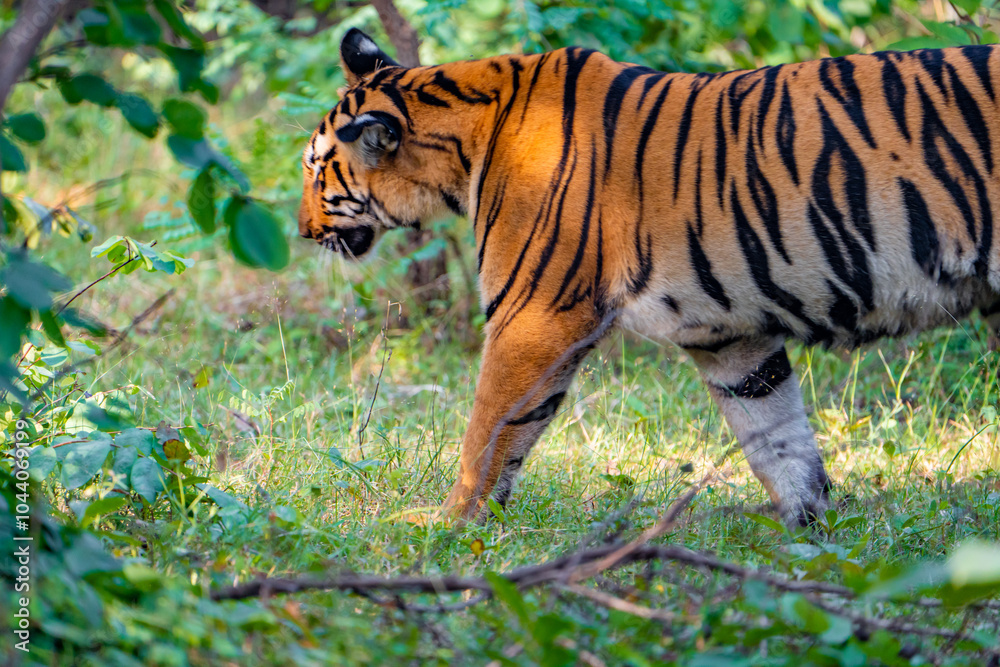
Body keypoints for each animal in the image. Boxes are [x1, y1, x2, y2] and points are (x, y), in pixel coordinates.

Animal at [298, 27, 1000, 527]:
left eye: (316, 169)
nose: (303, 231)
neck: (466, 139)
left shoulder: (532, 314)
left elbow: (489, 429)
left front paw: (446, 522)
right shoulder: (730, 337)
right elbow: (776, 435)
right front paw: (810, 532)